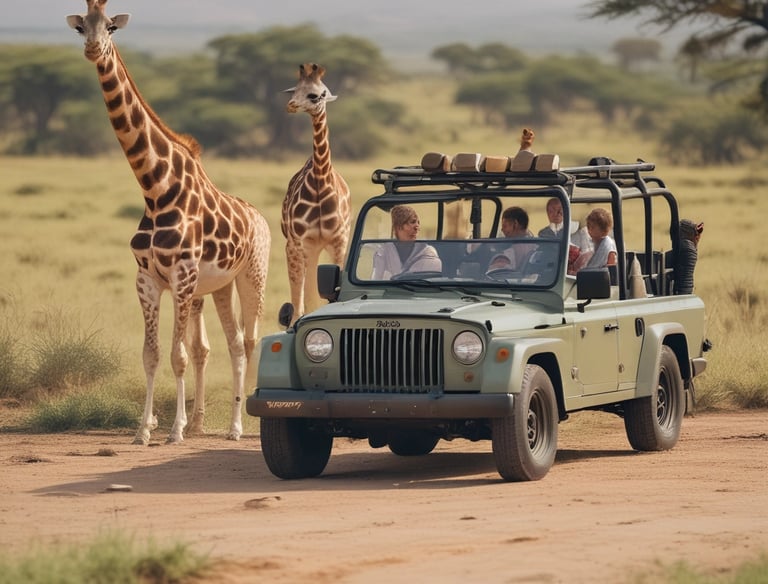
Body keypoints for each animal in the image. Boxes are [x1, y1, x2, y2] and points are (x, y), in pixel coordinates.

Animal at [66, 0, 270, 445]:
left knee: (249, 341)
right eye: (81, 27)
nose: (93, 49)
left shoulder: (182, 274)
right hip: (218, 286)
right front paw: (143, 430)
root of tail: (260, 216)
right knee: (229, 344)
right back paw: (211, 424)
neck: (155, 189)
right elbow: (153, 354)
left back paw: (236, 428)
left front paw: (174, 431)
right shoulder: (146, 278)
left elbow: (177, 356)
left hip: (252, 276)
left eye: (111, 26)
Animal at [282, 63, 351, 321]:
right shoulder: (304, 242)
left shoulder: (339, 241)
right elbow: (308, 299)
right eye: (294, 90)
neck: (321, 181)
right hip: (295, 247)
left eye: (315, 95)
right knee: (300, 290)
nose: (291, 105)